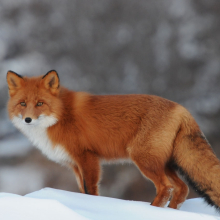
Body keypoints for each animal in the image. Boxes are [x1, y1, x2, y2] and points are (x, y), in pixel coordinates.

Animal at [6, 70, 220, 210]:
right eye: (23, 104)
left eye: (40, 104)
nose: (27, 119)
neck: (61, 115)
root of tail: (182, 108)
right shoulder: (74, 165)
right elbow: (81, 190)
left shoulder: (87, 157)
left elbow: (90, 190)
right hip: (164, 162)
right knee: (182, 188)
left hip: (144, 160)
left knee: (166, 187)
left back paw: (151, 210)